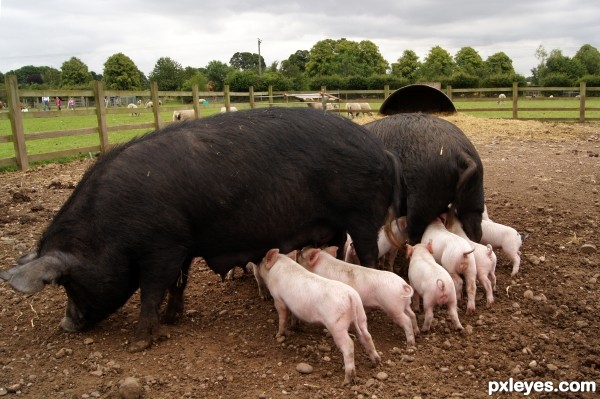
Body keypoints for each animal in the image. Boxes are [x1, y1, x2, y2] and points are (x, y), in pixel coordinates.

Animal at [2, 107, 404, 354]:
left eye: (68, 282)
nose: (66, 325)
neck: (109, 227)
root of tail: (385, 153)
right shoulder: (179, 244)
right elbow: (178, 283)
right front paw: (172, 319)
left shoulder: (161, 246)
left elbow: (151, 290)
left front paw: (139, 342)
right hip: (334, 224)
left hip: (362, 214)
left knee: (367, 256)